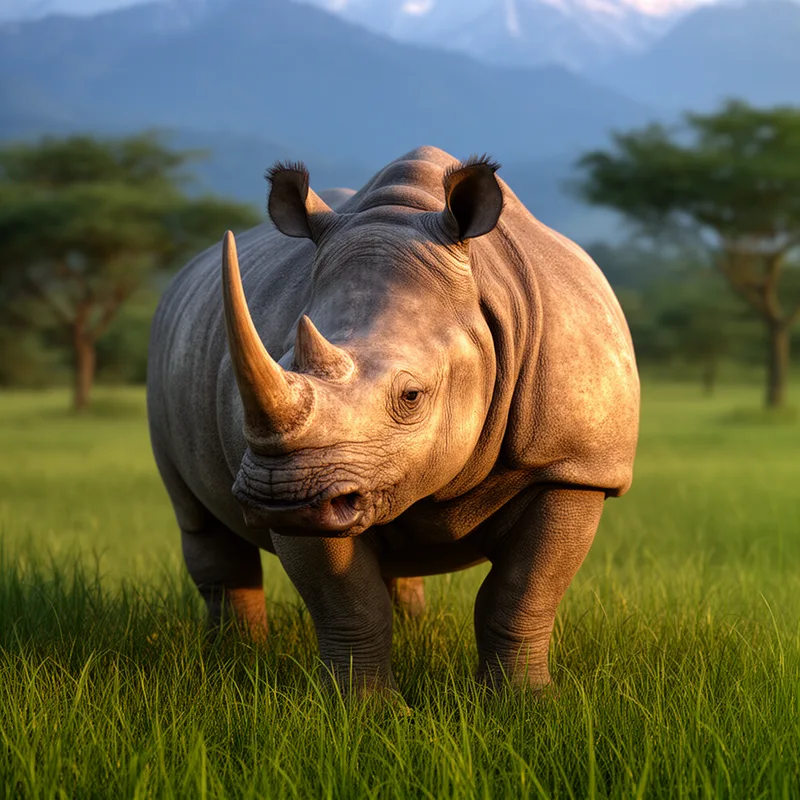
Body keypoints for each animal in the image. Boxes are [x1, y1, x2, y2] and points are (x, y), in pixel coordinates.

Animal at [147, 146, 639, 694]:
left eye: (411, 395)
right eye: (283, 360)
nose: (279, 496)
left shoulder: (573, 466)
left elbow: (522, 594)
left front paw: (521, 701)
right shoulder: (314, 474)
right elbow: (349, 606)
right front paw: (364, 707)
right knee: (198, 520)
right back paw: (238, 658)